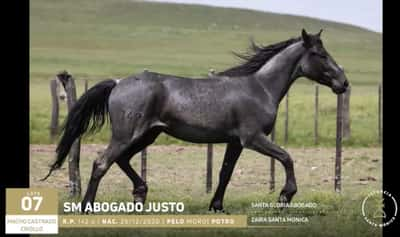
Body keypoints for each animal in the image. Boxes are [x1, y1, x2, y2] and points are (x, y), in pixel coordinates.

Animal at [43, 28, 348, 212]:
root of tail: (118, 83)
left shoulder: (235, 142)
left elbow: (225, 173)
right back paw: (88, 207)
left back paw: (140, 194)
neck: (260, 88)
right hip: (127, 134)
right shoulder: (253, 138)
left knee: (122, 160)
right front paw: (285, 195)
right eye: (319, 54)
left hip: (147, 135)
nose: (343, 83)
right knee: (101, 162)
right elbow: (286, 158)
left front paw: (217, 206)